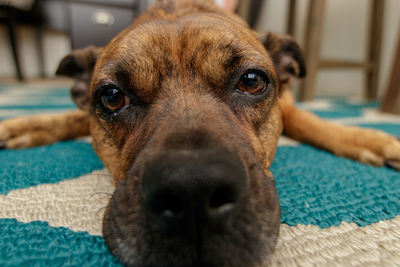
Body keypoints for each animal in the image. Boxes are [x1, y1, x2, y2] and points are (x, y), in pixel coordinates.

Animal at [0, 1, 400, 266]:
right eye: (112, 97)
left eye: (252, 80)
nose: (193, 189)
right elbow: (69, 117)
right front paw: (20, 125)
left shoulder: (287, 103)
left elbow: (309, 121)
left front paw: (373, 140)